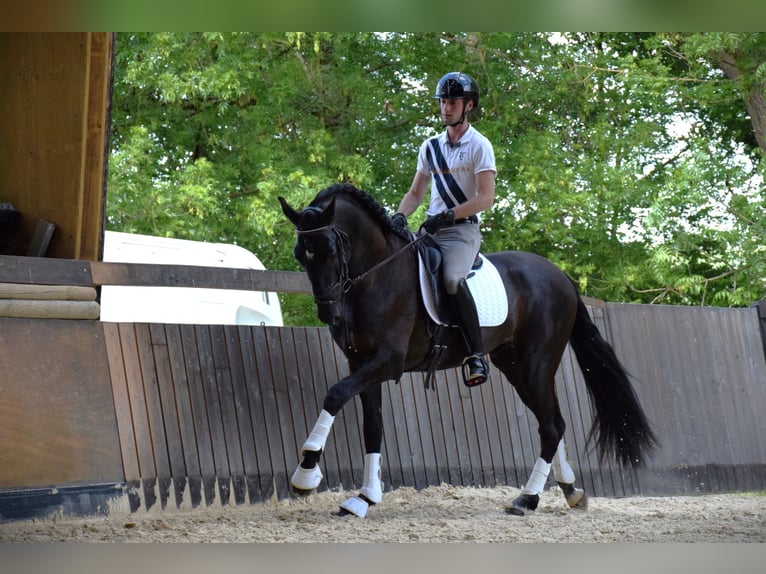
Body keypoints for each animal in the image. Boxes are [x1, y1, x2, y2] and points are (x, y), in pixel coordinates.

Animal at [280, 184, 656, 516]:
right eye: (301, 254)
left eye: (330, 248)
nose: (329, 313)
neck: (377, 274)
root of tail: (561, 276)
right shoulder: (360, 363)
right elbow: (372, 426)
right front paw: (364, 498)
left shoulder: (387, 362)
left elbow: (334, 395)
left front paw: (305, 474)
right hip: (515, 365)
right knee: (554, 421)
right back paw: (571, 491)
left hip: (536, 364)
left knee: (551, 426)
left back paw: (526, 499)